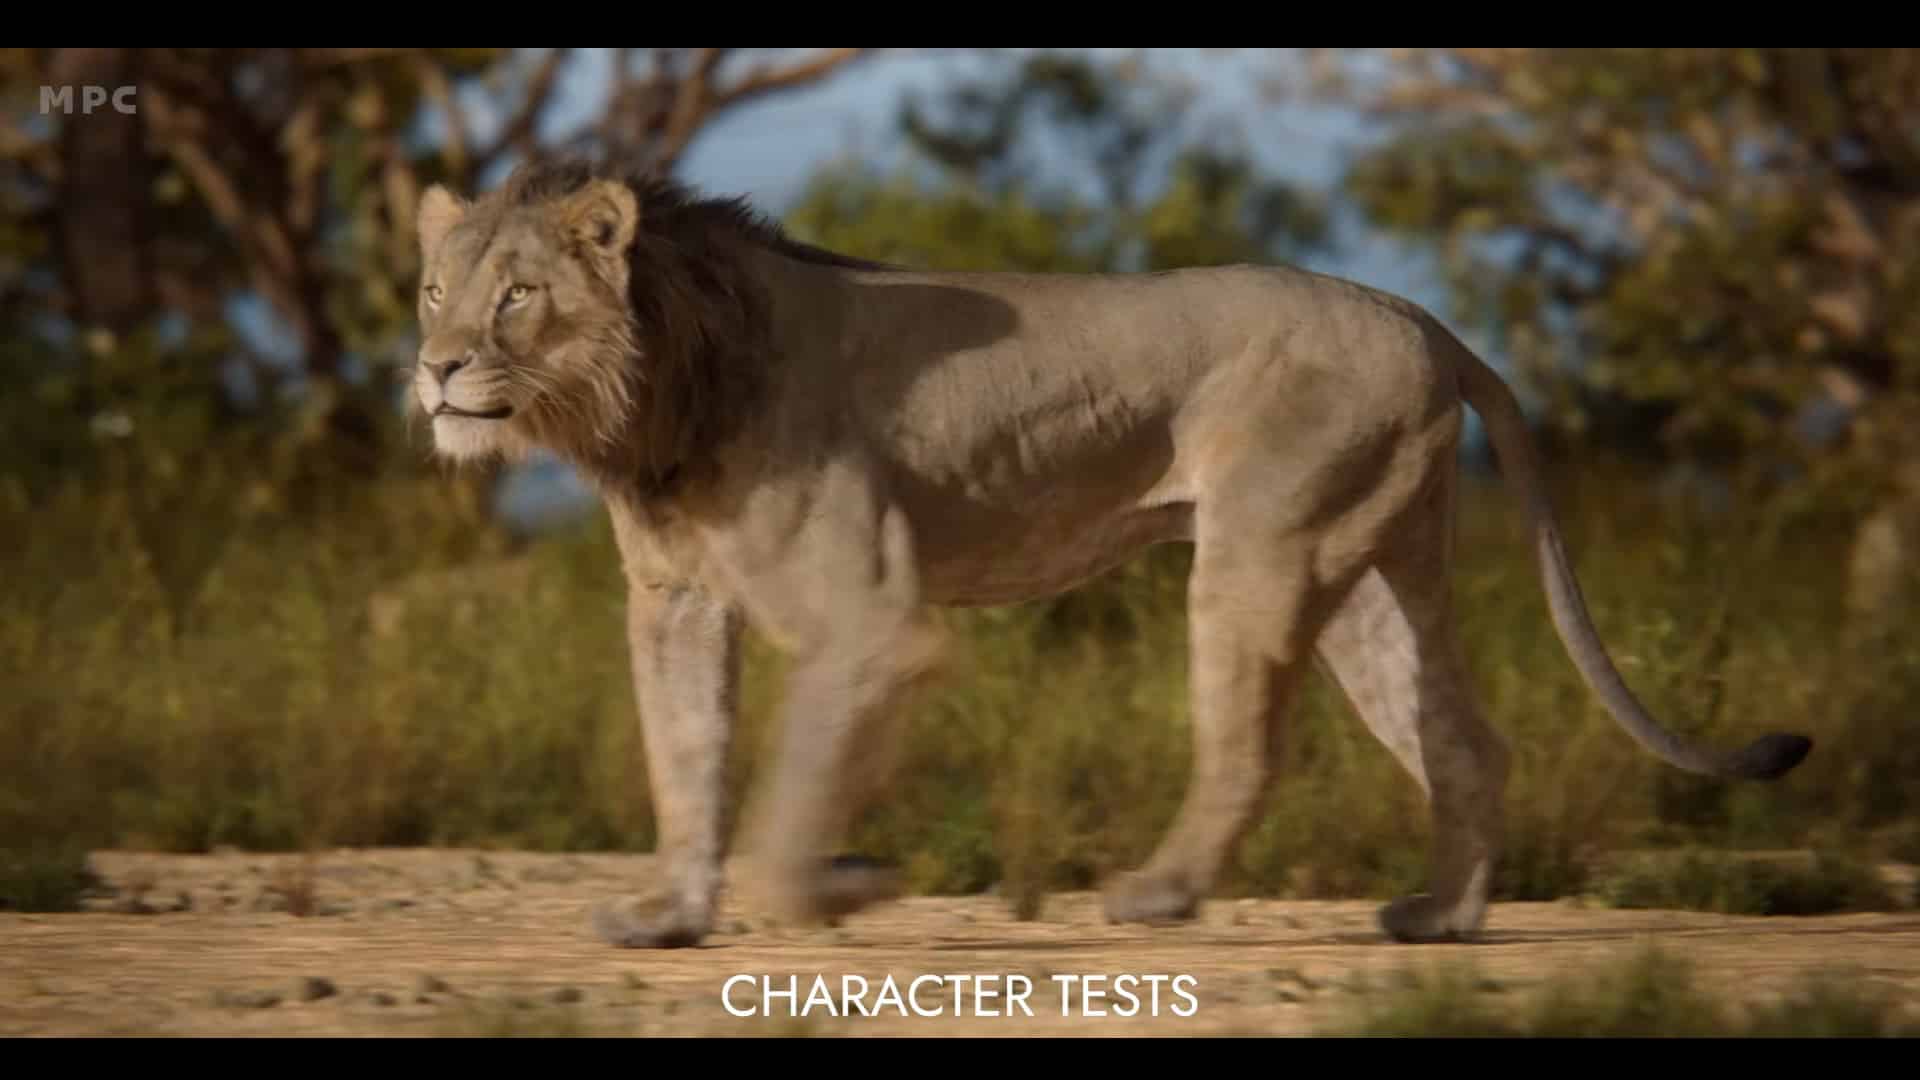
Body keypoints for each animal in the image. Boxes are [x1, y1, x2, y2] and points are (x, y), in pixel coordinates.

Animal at [408, 158, 1813, 948]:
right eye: (434, 289)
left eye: (516, 296)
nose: (432, 369)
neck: (654, 396)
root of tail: (1421, 313)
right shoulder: (674, 601)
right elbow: (685, 763)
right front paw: (670, 918)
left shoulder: (872, 617)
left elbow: (783, 801)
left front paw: (847, 884)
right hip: (1371, 569)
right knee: (1465, 742)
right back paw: (1443, 921)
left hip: (1264, 548)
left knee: (1249, 748)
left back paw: (1159, 896)